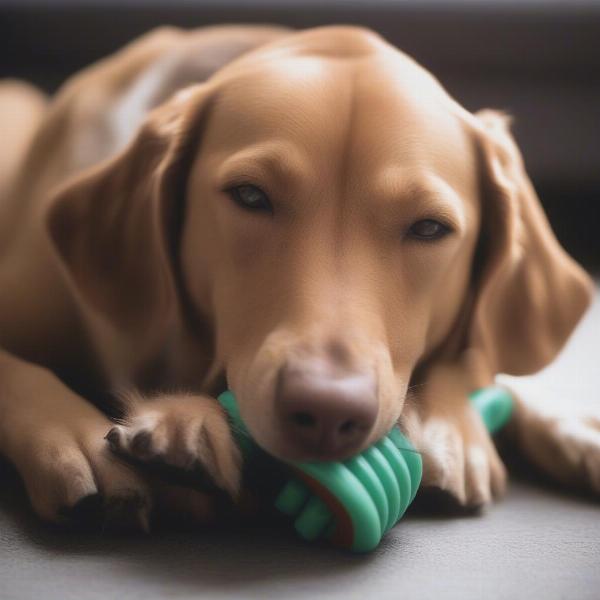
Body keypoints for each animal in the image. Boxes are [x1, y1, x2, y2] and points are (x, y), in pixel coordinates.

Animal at [0, 25, 596, 528]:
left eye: (430, 228)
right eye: (248, 195)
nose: (329, 413)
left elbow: (486, 365)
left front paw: (462, 426)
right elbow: (20, 370)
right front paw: (86, 436)